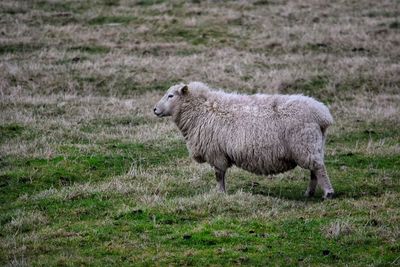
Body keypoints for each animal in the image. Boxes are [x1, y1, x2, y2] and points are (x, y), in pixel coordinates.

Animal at [153, 81, 334, 199]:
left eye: (170, 96)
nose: (154, 109)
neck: (200, 109)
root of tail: (322, 115)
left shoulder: (216, 153)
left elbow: (219, 175)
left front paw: (220, 193)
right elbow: (221, 175)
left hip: (304, 144)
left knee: (319, 168)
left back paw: (328, 193)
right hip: (313, 145)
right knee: (314, 170)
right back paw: (309, 193)